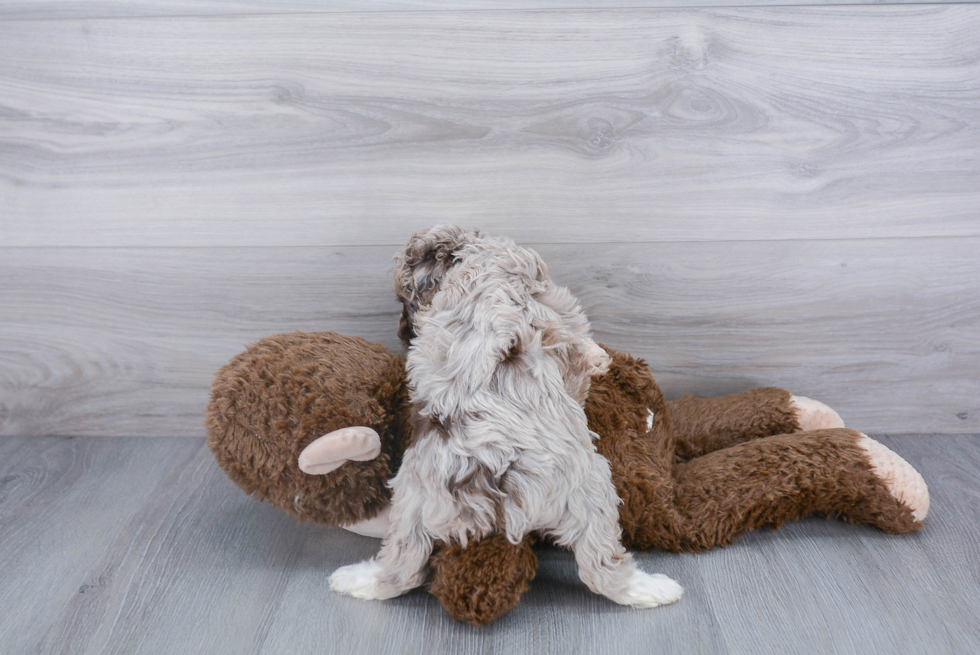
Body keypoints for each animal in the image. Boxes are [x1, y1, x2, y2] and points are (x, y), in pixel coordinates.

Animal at [330, 226, 680, 608]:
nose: (404, 333)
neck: (466, 258)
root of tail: (488, 485)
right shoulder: (555, 307)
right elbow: (578, 348)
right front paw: (598, 357)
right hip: (593, 486)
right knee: (602, 570)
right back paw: (654, 588)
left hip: (412, 502)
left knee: (400, 569)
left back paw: (357, 580)